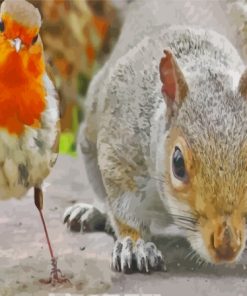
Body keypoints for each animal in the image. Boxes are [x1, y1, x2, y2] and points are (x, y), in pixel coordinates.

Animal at [62, 0, 247, 272]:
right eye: (178, 164)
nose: (227, 247)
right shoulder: (121, 151)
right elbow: (125, 209)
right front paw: (134, 245)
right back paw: (92, 212)